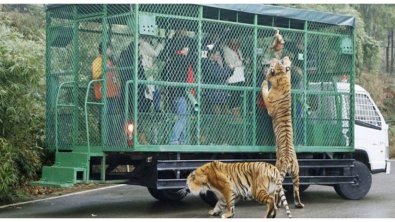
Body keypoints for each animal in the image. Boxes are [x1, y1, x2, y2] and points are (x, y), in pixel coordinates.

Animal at [262, 56, 306, 209]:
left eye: (273, 63)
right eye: (277, 62)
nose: (273, 58)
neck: (281, 76)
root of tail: (287, 158)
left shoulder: (269, 104)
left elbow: (264, 90)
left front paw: (264, 81)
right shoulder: (289, 77)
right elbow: (289, 71)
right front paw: (287, 60)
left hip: (278, 166)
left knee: (277, 190)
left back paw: (276, 203)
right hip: (297, 172)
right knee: (296, 189)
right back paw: (299, 205)